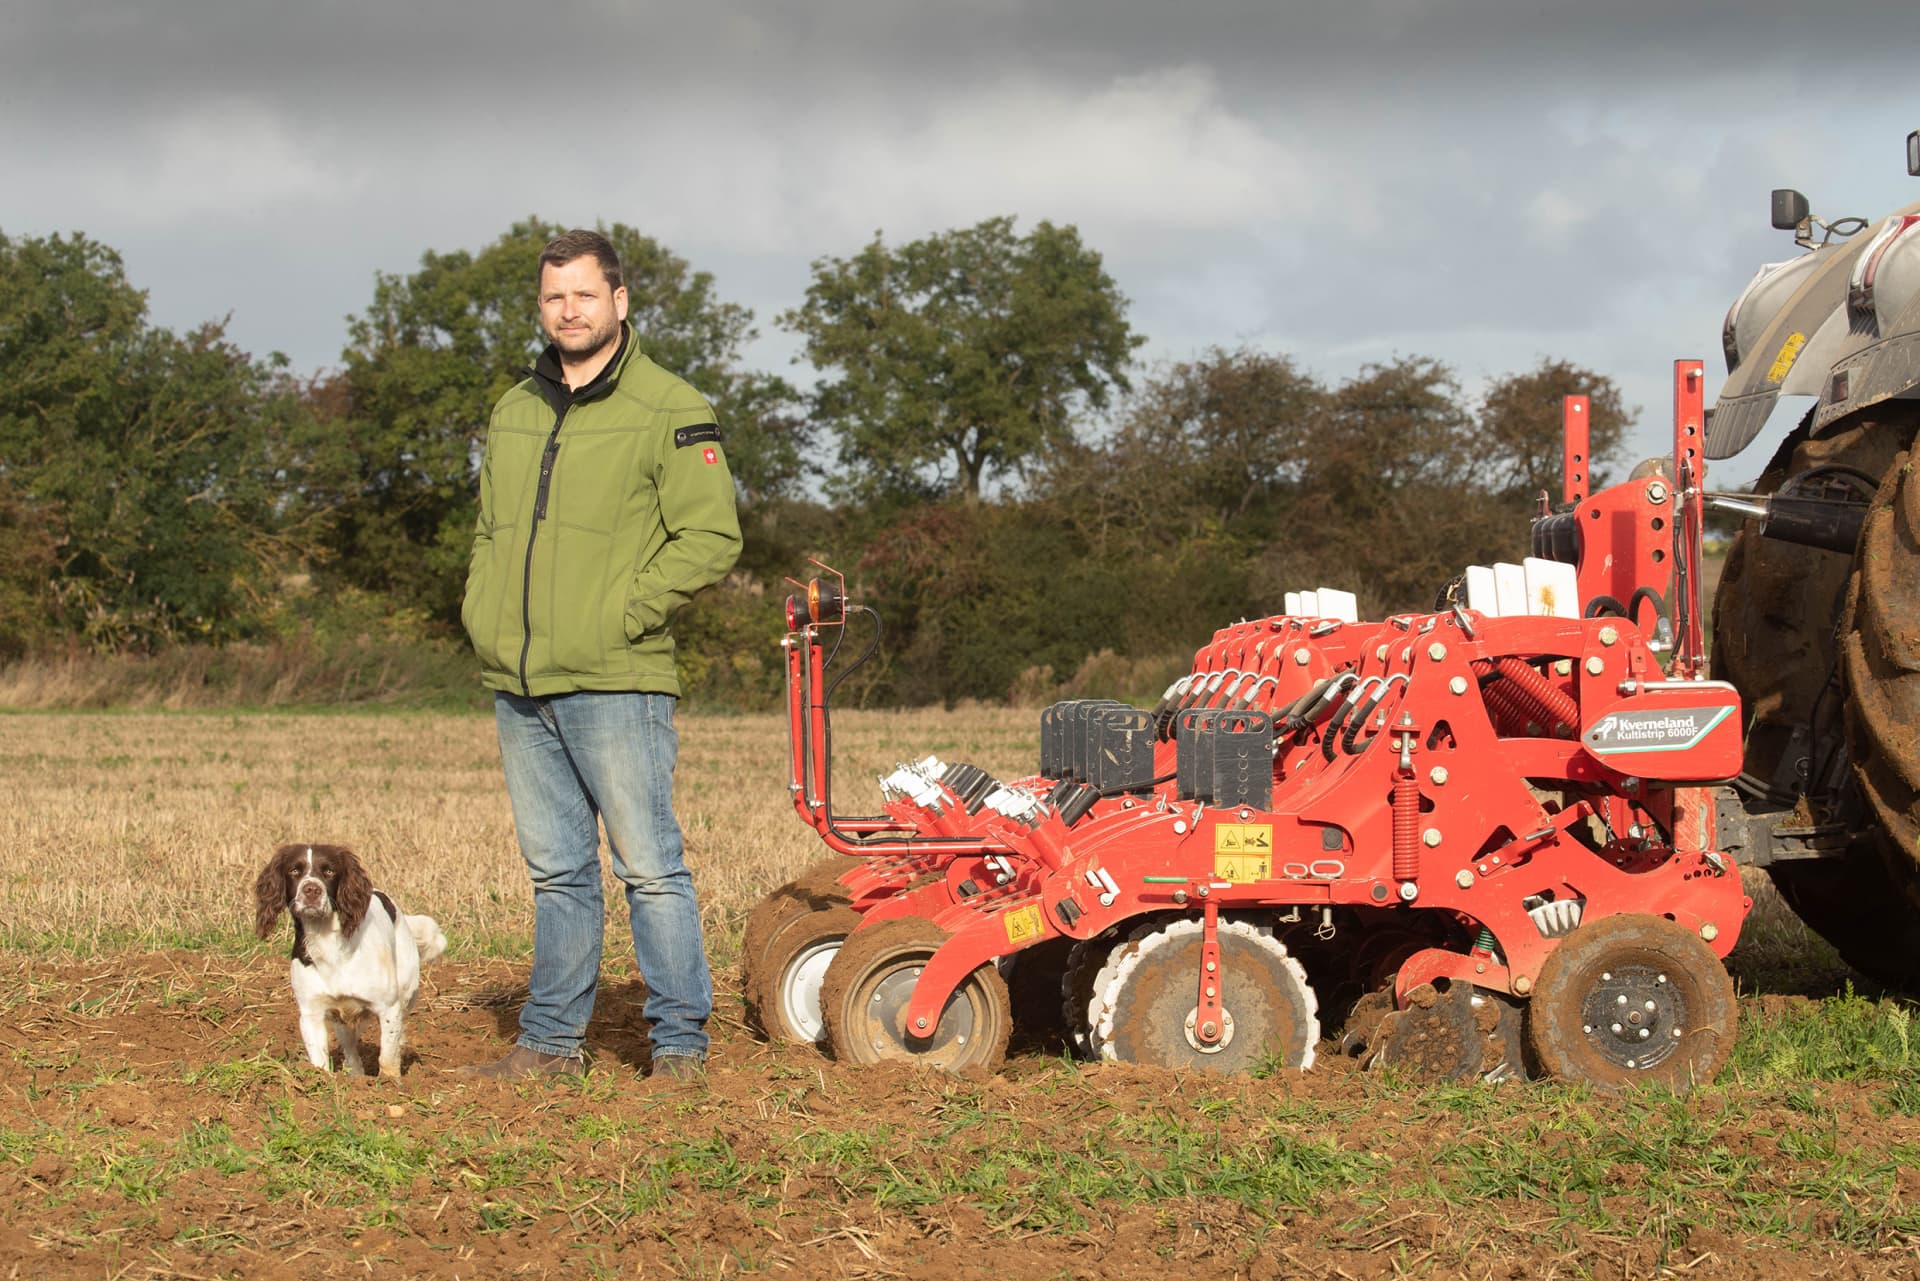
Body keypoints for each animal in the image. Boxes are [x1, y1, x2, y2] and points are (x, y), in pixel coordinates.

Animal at [253, 845, 447, 1075]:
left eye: (329, 871)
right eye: (294, 870)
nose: (311, 890)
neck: (327, 941)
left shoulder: (388, 1008)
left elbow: (388, 1057)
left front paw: (390, 1082)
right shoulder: (311, 1013)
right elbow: (320, 1062)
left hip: (406, 993)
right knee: (351, 1048)